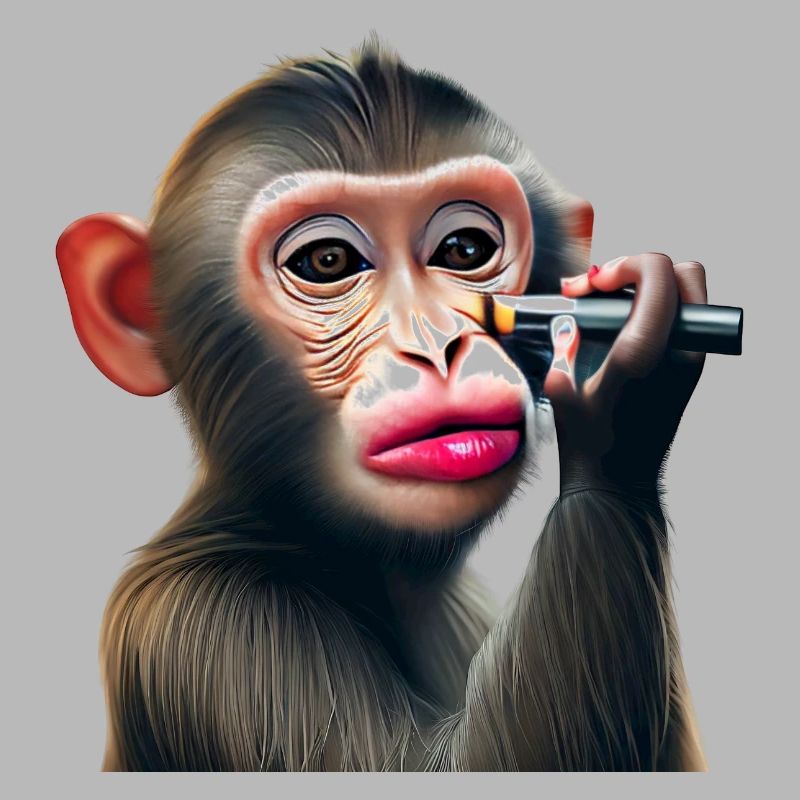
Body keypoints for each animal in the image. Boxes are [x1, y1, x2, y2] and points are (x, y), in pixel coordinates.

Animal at [56, 34, 709, 771]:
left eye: (464, 248)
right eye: (328, 261)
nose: (437, 343)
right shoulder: (214, 634)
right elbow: (442, 765)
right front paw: (621, 389)